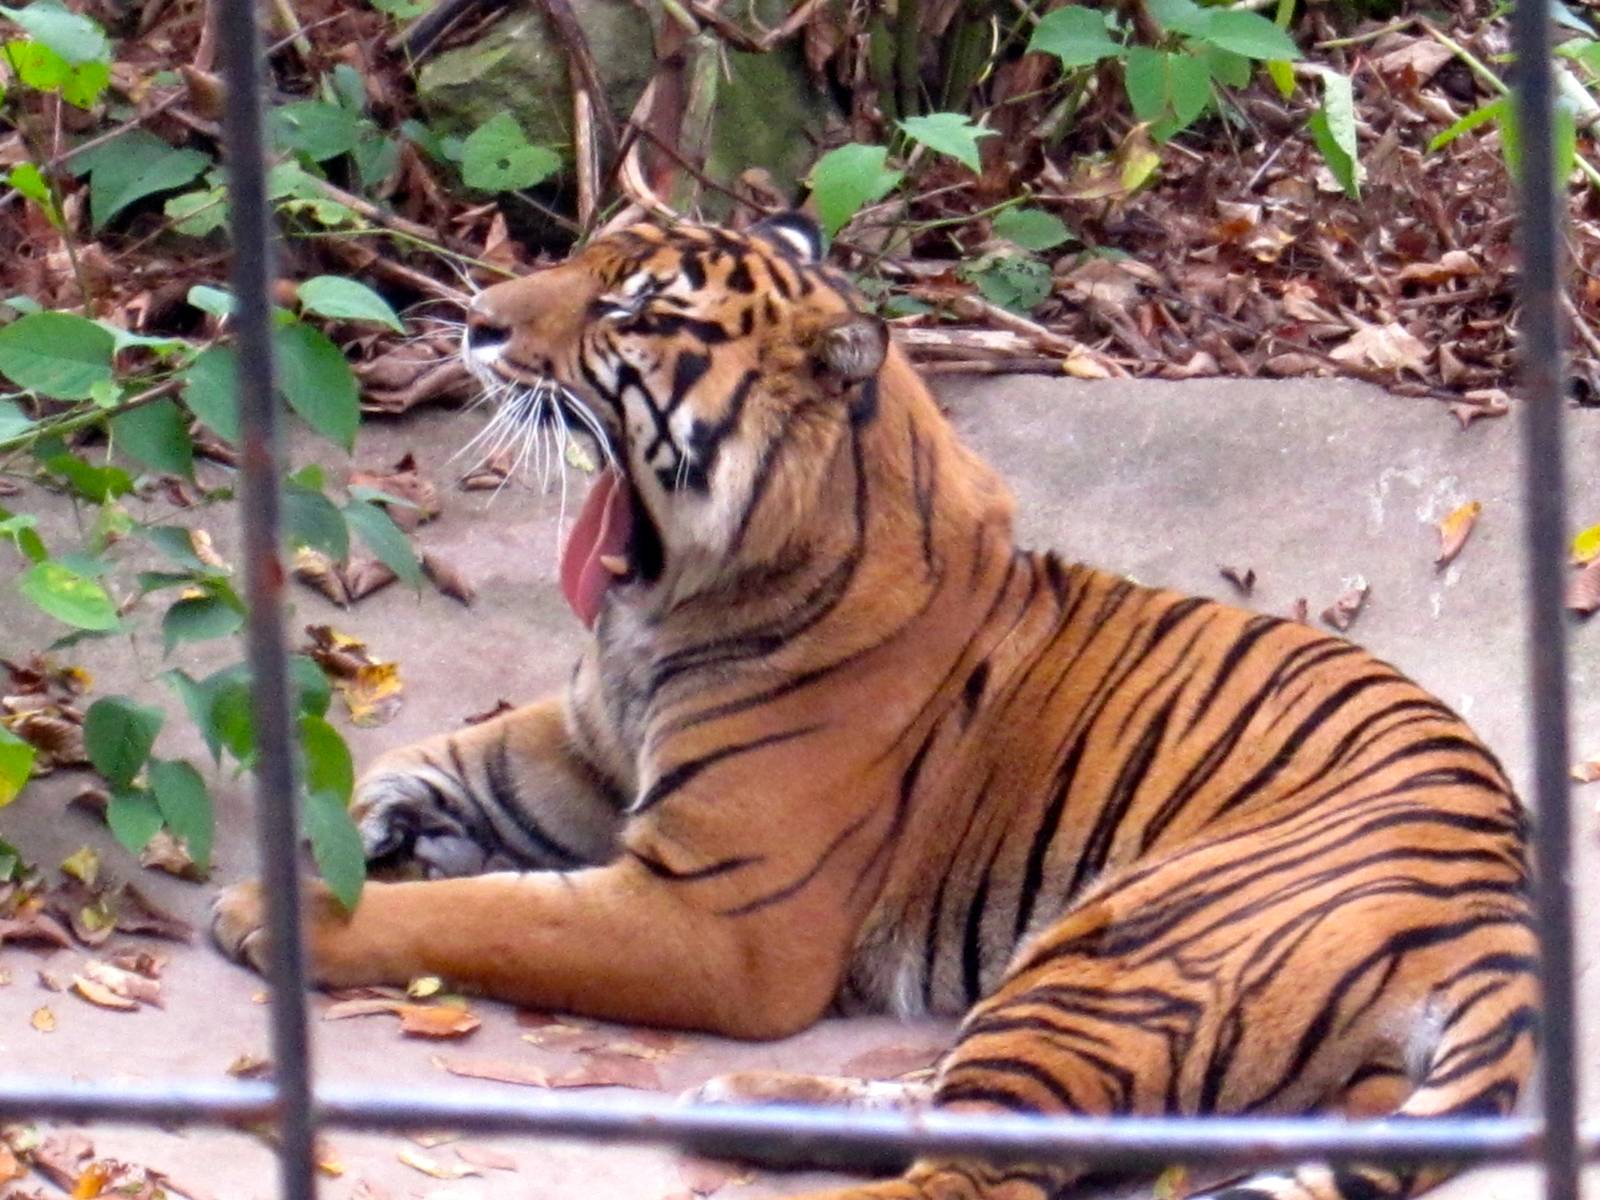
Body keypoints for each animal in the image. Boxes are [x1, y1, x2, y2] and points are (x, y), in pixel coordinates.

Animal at [212, 211, 1538, 1200]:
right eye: (578, 260)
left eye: (630, 311)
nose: (477, 326)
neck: (670, 606)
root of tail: (1501, 916)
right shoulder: (590, 749)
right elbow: (454, 755)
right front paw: (368, 824)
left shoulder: (720, 920)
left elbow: (489, 916)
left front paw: (273, 910)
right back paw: (746, 1109)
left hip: (1121, 949)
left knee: (976, 1173)